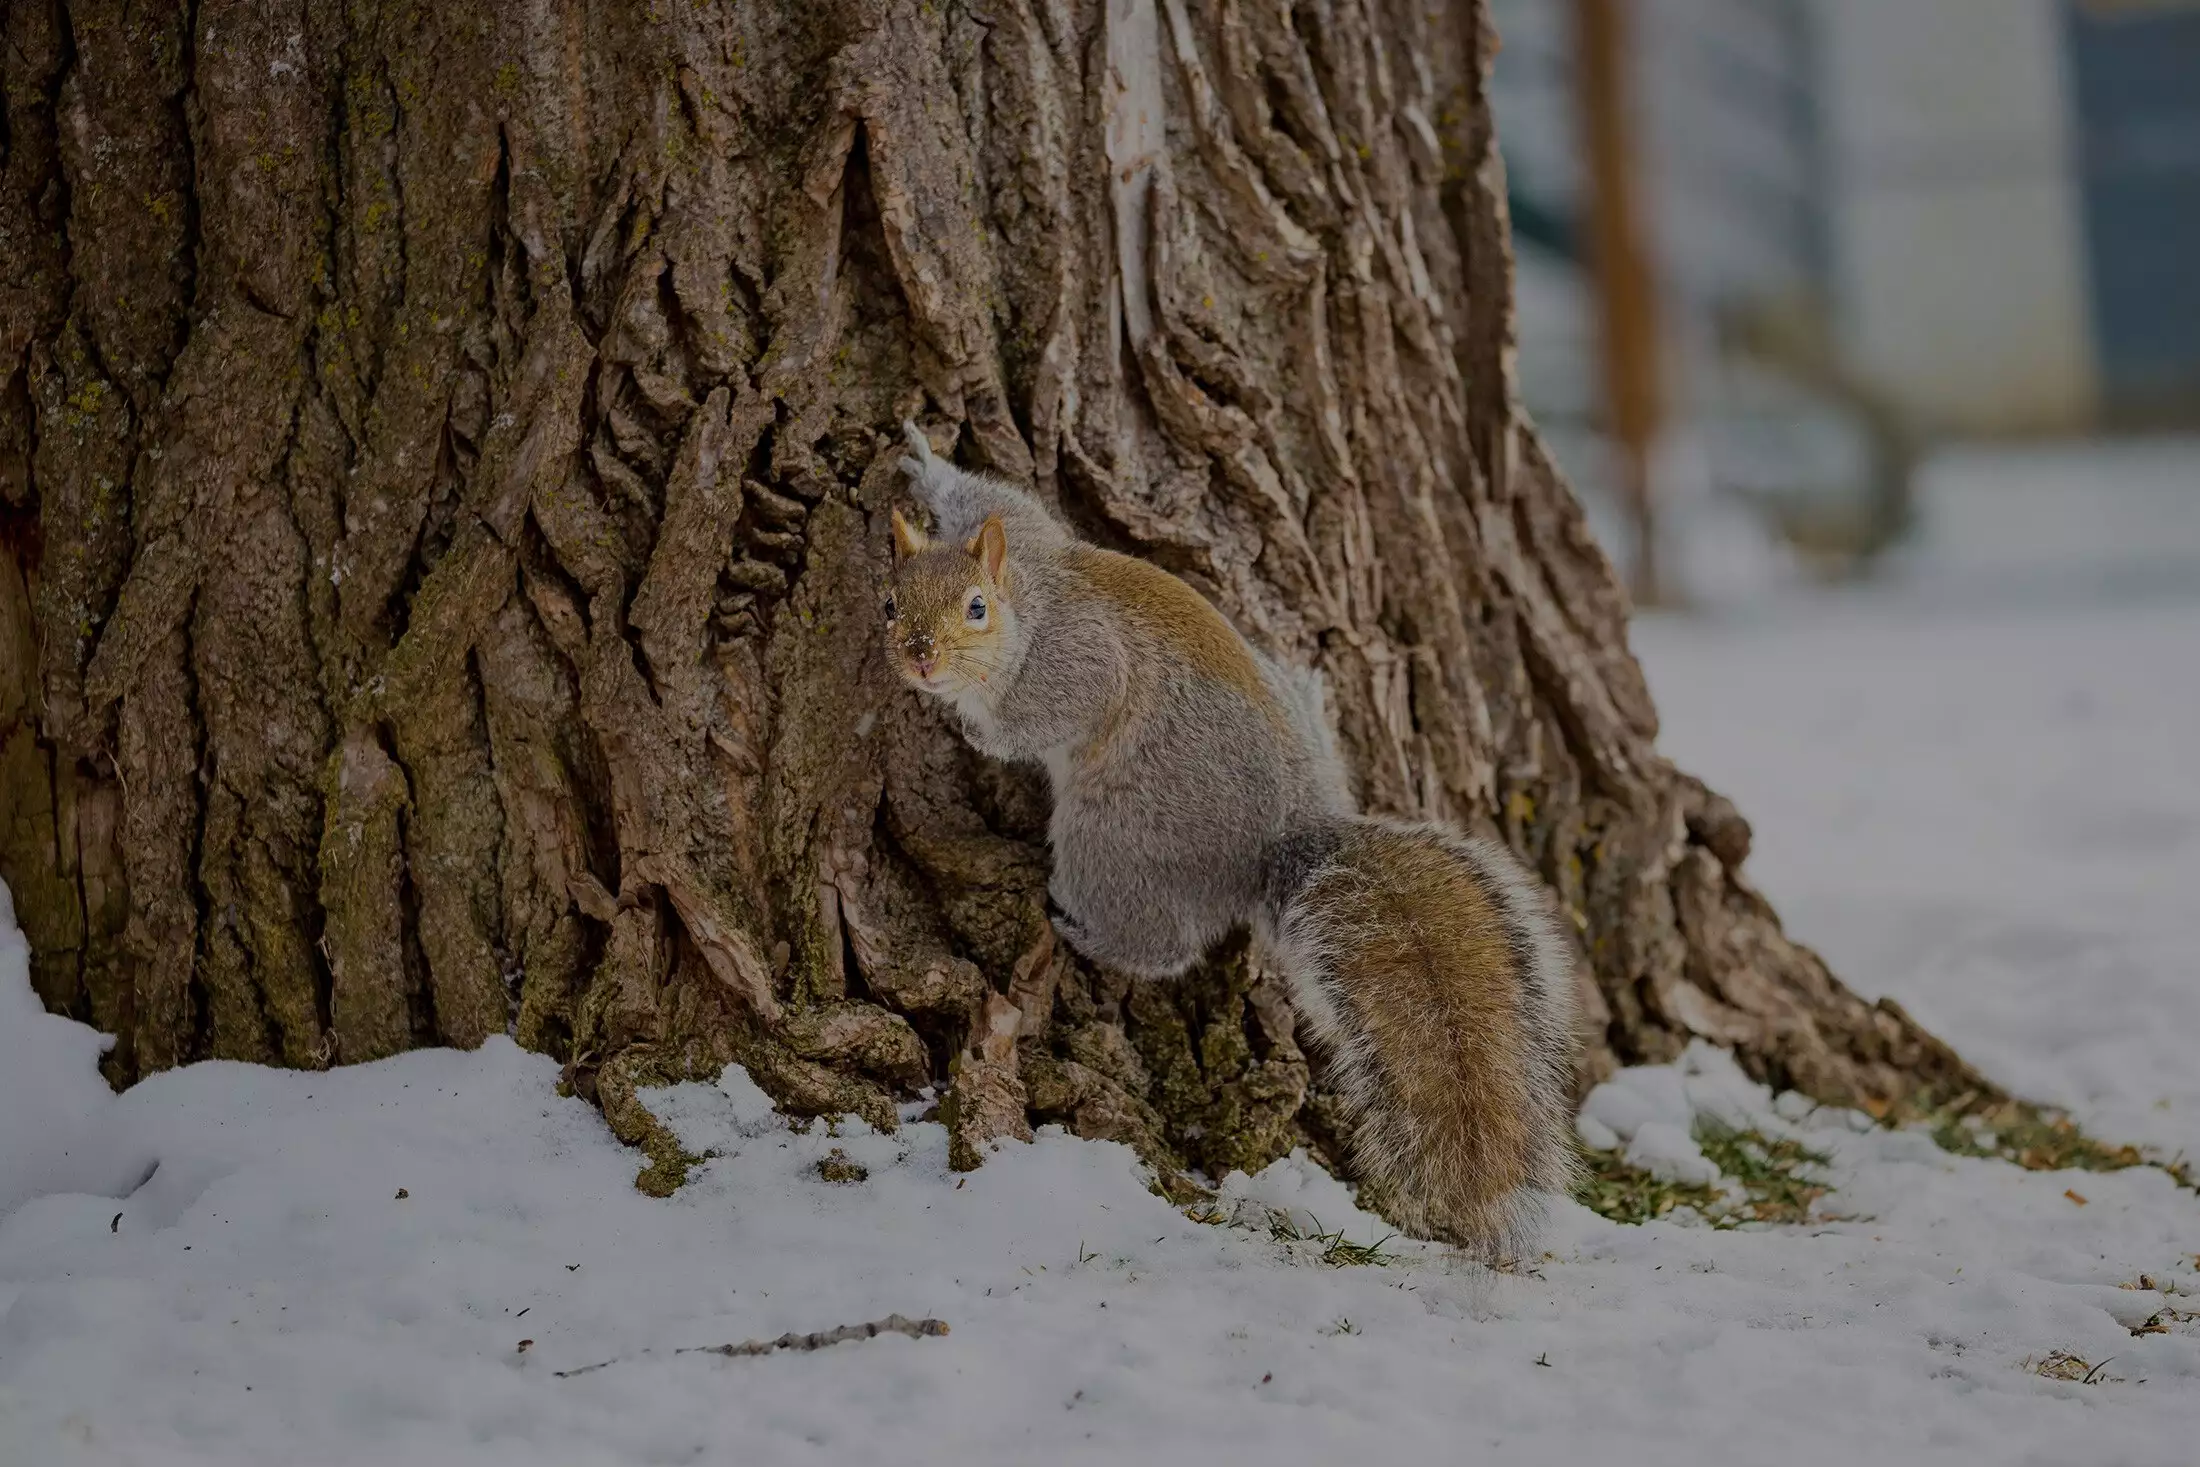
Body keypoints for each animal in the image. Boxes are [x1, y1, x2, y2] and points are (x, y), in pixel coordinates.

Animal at [884, 421, 1578, 1259]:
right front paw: (927, 465)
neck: (1031, 602)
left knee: (1164, 943)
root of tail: (1284, 835)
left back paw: (1086, 932)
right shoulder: (1030, 536)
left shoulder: (1075, 666)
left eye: (977, 608)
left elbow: (1035, 722)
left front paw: (970, 723)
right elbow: (1003, 499)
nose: (920, 657)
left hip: (1113, 838)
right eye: (889, 602)